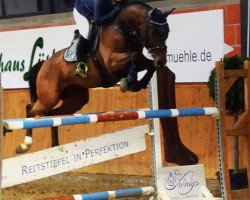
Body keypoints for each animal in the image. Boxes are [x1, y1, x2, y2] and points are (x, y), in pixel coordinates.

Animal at [16, 1, 174, 153]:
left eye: (167, 32)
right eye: (153, 32)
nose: (162, 61)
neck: (122, 28)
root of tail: (44, 63)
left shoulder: (135, 61)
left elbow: (148, 64)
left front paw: (137, 84)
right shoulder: (111, 62)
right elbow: (134, 58)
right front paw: (128, 83)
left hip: (75, 100)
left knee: (53, 115)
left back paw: (54, 144)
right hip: (50, 96)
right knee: (31, 109)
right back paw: (25, 145)